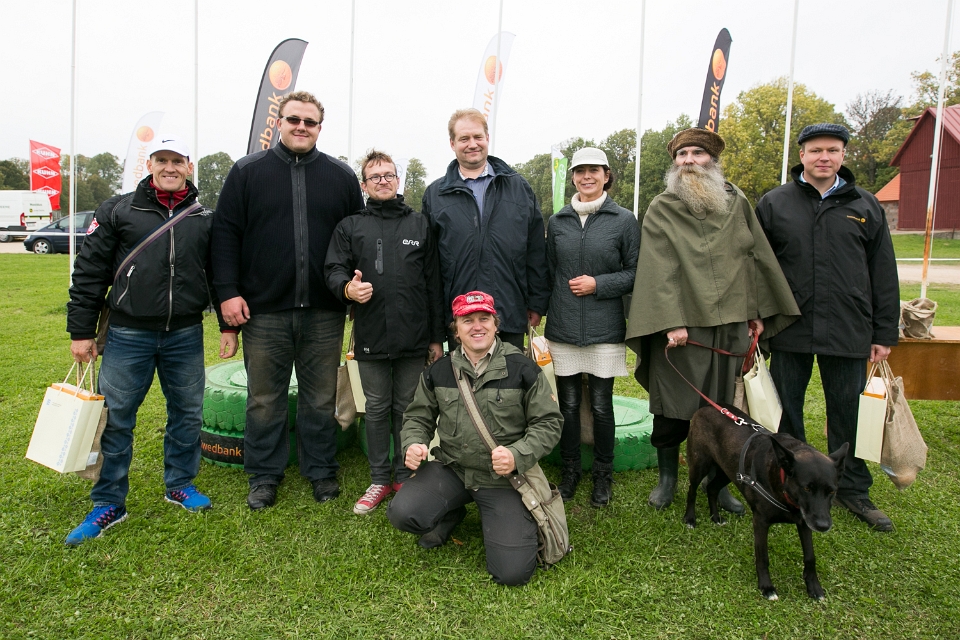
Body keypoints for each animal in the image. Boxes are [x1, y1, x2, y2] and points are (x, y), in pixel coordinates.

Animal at [683, 404, 848, 601]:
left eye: (832, 491)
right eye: (807, 488)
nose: (823, 526)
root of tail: (706, 407)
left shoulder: (804, 522)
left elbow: (810, 557)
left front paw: (814, 588)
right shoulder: (761, 522)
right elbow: (763, 557)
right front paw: (767, 587)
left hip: (727, 470)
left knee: (712, 489)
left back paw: (715, 517)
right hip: (700, 463)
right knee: (692, 491)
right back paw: (690, 518)